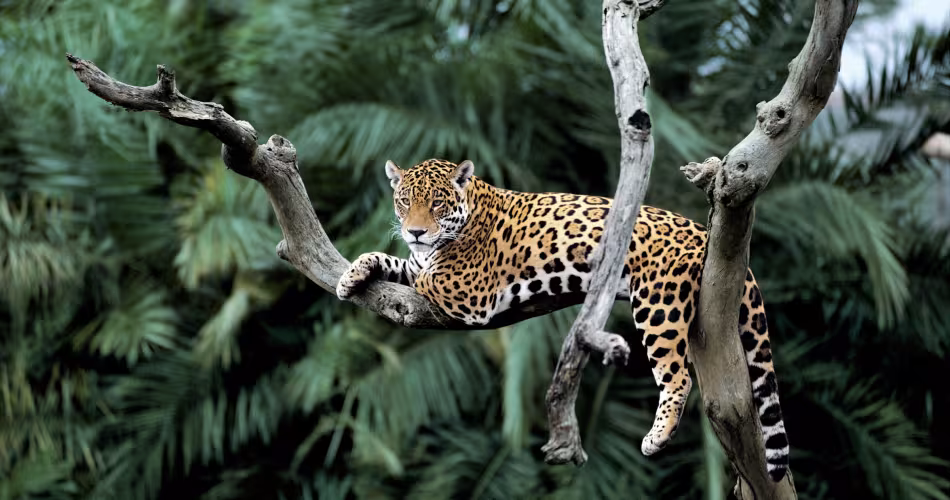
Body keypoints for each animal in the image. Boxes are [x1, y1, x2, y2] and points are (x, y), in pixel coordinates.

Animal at [337, 159, 790, 481]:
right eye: (403, 202)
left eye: (437, 203)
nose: (415, 231)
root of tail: (702, 232)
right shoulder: (420, 262)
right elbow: (395, 261)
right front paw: (351, 275)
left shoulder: (467, 289)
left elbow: (425, 275)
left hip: (657, 305)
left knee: (677, 376)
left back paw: (656, 437)